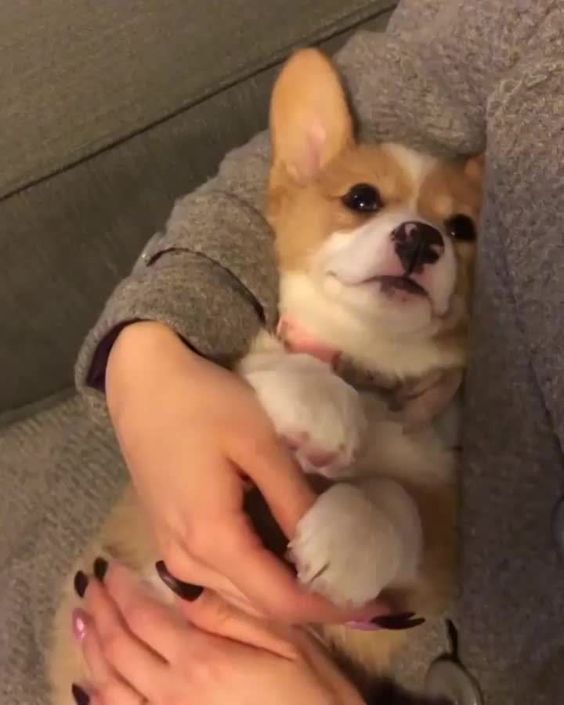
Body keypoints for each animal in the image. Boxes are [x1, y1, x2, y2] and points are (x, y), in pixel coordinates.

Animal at [47, 46, 480, 700]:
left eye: (462, 229)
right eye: (361, 198)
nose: (420, 240)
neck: (369, 370)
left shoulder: (427, 570)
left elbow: (397, 500)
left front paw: (352, 533)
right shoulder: (255, 357)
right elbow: (274, 361)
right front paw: (325, 409)